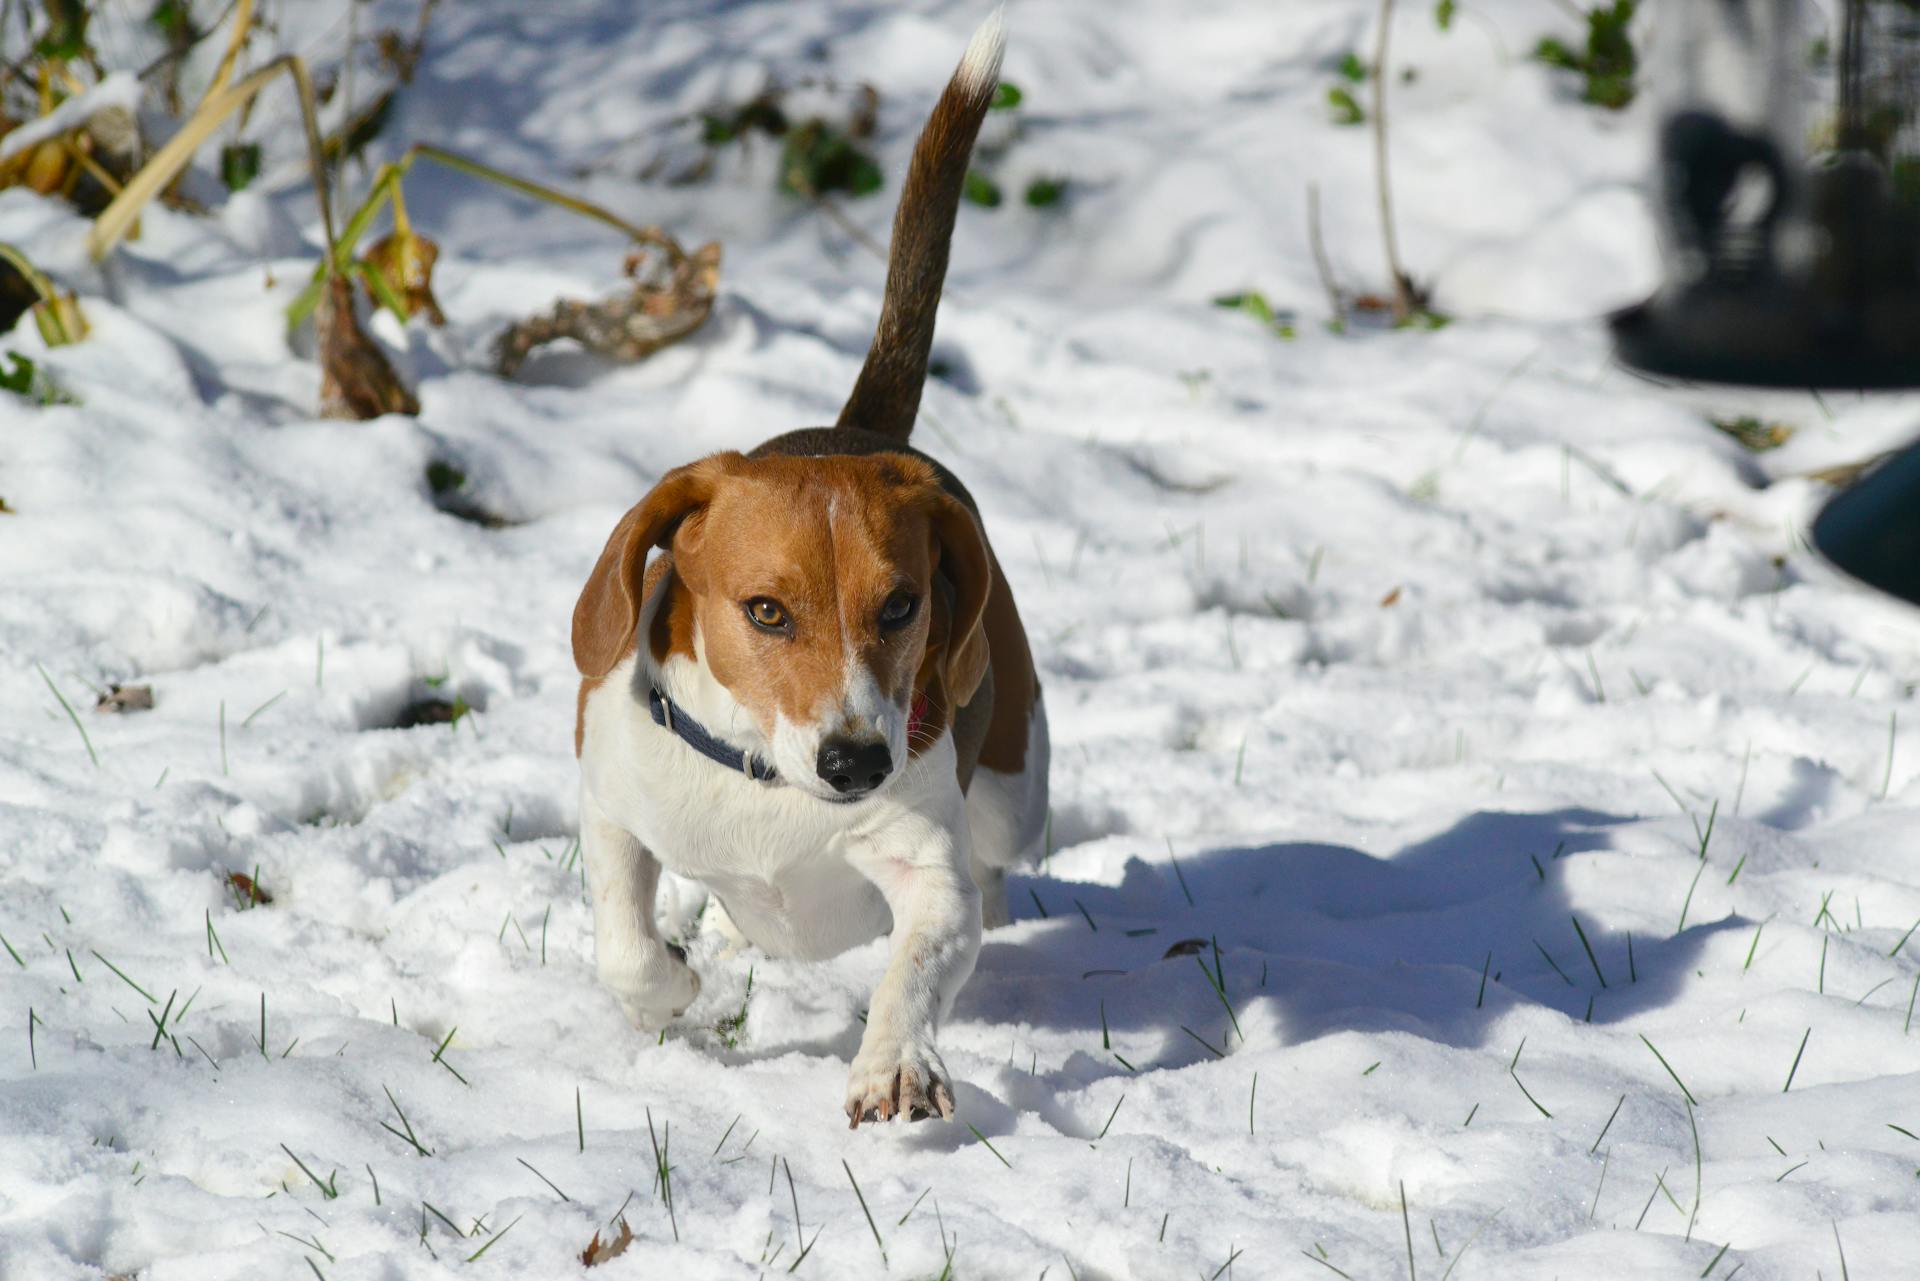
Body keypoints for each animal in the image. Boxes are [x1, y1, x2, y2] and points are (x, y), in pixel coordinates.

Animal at [568, 15, 1052, 1129]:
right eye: (766, 611)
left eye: (905, 604)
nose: (856, 762)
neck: (769, 783)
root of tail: (864, 431)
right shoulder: (610, 799)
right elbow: (625, 943)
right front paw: (671, 983)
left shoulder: (929, 875)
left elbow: (918, 962)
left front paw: (896, 1064)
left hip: (1016, 781)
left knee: (999, 860)